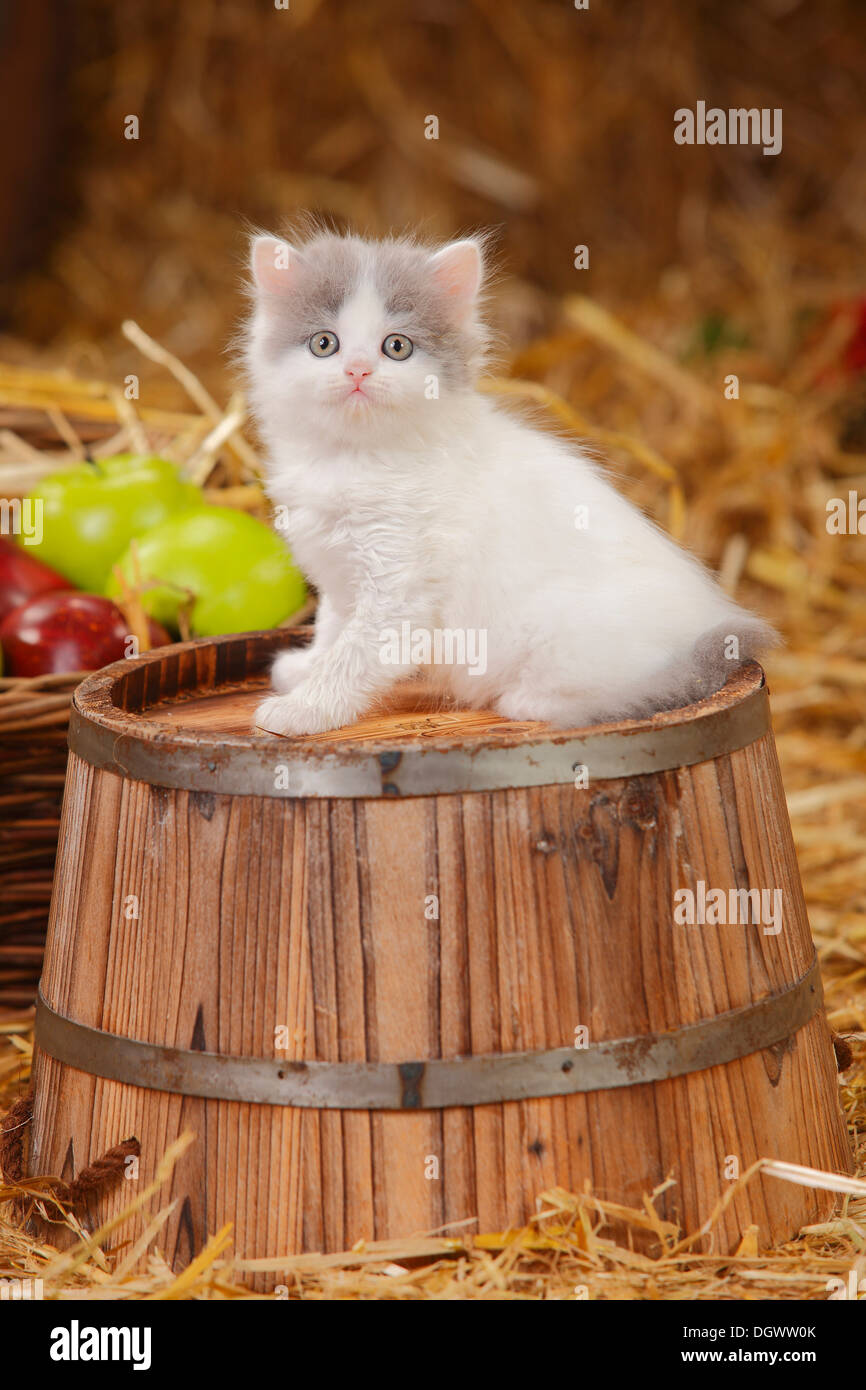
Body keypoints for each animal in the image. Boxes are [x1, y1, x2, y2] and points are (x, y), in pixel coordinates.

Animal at [240, 225, 778, 739]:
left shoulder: (400, 591)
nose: (358, 371)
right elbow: (331, 630)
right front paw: (303, 671)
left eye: (396, 346)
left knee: (629, 689)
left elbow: (352, 657)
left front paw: (303, 709)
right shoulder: (340, 580)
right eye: (324, 343)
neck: (354, 457)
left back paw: (527, 700)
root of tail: (705, 628)